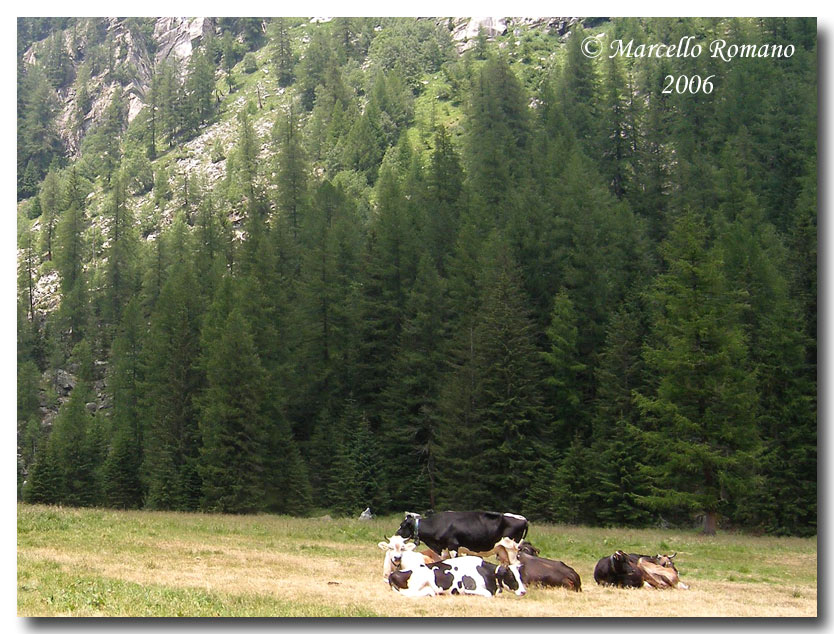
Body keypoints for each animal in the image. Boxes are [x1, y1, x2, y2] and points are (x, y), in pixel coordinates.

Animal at [394, 512, 528, 556]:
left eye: (402, 525)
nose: (395, 534)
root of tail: (524, 519)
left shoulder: (453, 546)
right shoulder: (444, 549)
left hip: (511, 549)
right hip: (503, 550)